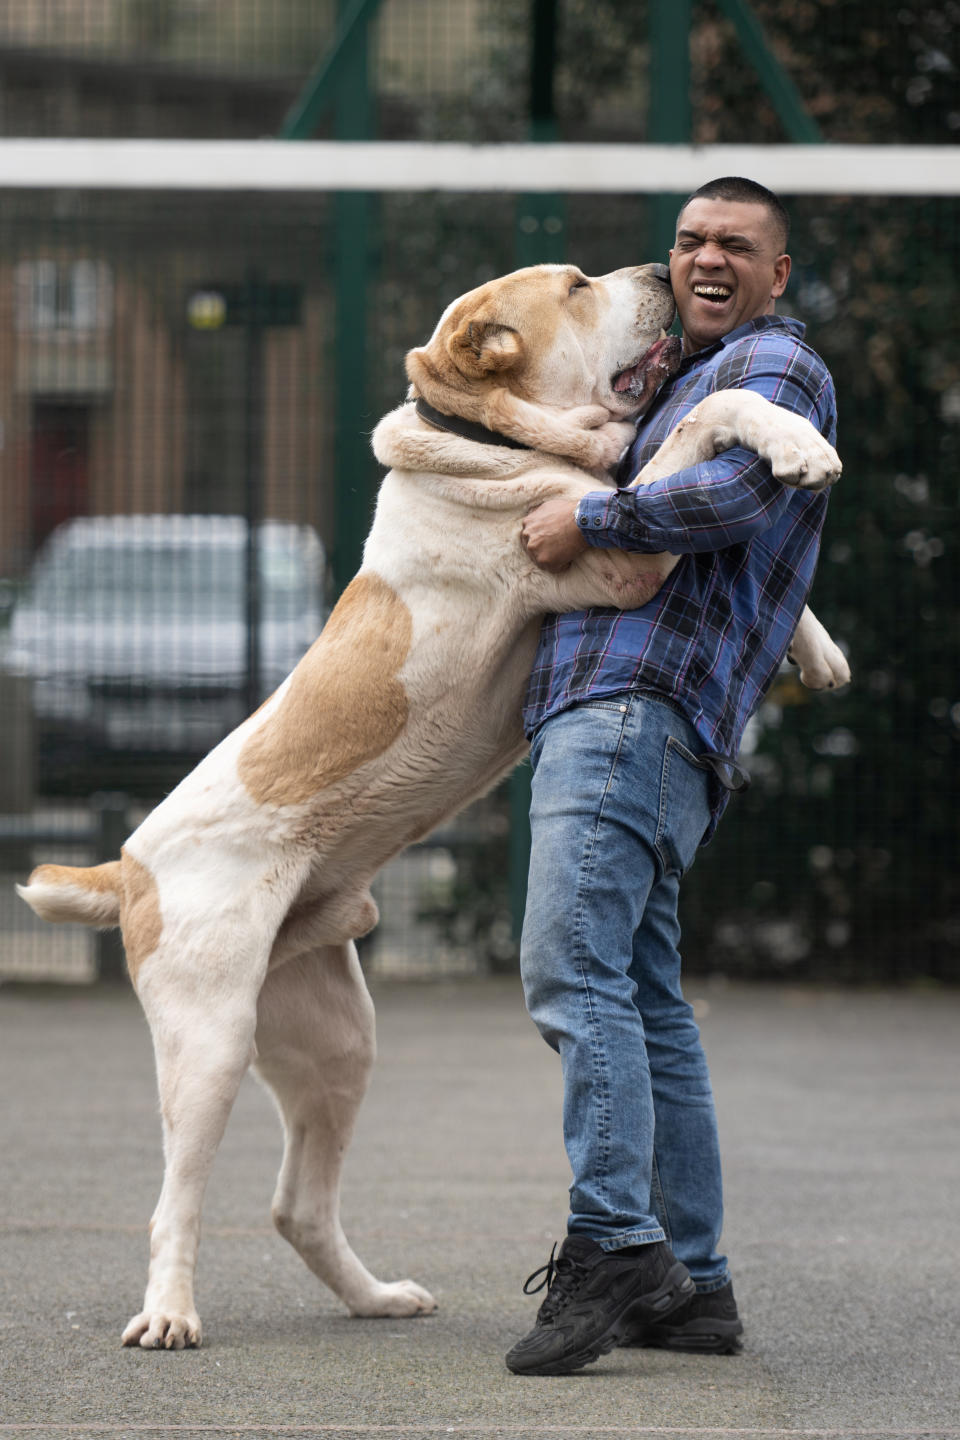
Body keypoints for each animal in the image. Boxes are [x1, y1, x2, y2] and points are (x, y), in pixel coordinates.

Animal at [16, 267, 846, 1347]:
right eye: (578, 286)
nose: (661, 274)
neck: (492, 441)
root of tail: (126, 864)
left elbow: (691, 449)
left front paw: (819, 649)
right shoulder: (615, 555)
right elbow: (711, 413)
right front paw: (800, 445)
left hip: (336, 1041)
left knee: (297, 1203)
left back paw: (375, 1297)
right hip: (209, 1041)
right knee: (176, 1199)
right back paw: (169, 1314)